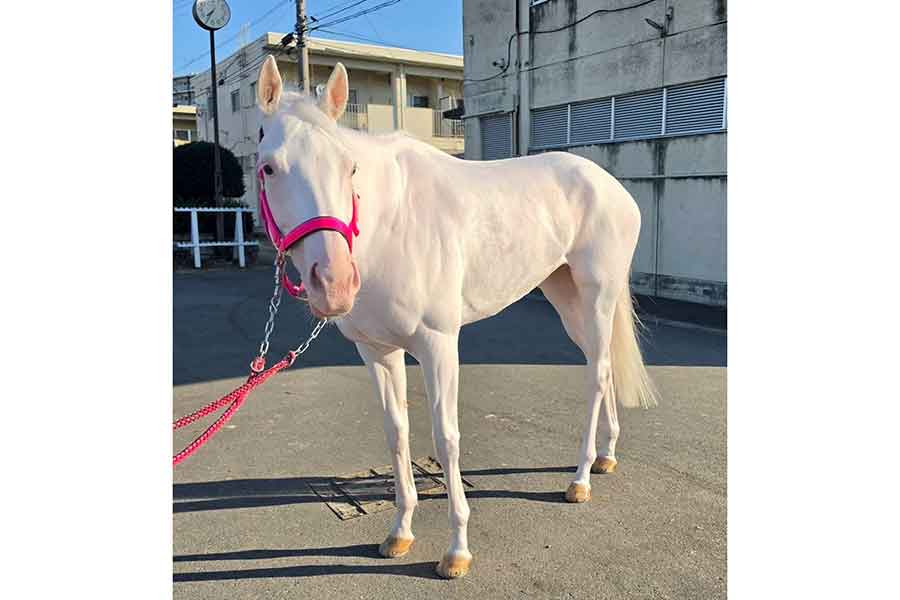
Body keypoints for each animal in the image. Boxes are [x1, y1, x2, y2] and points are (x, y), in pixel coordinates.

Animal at [253, 56, 658, 579]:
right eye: (268, 167)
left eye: (350, 168)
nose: (336, 283)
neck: (391, 225)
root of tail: (612, 188)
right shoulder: (377, 352)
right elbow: (396, 434)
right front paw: (399, 533)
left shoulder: (438, 345)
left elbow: (446, 439)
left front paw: (457, 551)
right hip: (567, 299)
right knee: (602, 365)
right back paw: (606, 456)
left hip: (597, 297)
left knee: (596, 376)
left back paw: (581, 479)